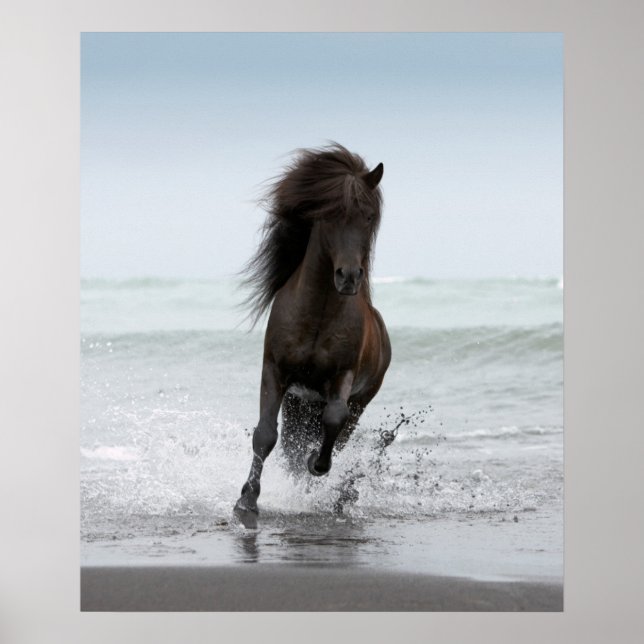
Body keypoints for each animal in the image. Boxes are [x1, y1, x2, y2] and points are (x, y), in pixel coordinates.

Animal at [233, 143, 391, 529]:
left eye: (368, 217)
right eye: (329, 215)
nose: (348, 277)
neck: (318, 313)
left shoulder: (342, 378)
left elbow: (330, 424)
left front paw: (315, 465)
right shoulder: (274, 371)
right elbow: (264, 435)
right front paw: (247, 502)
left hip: (358, 403)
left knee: (335, 434)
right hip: (298, 401)